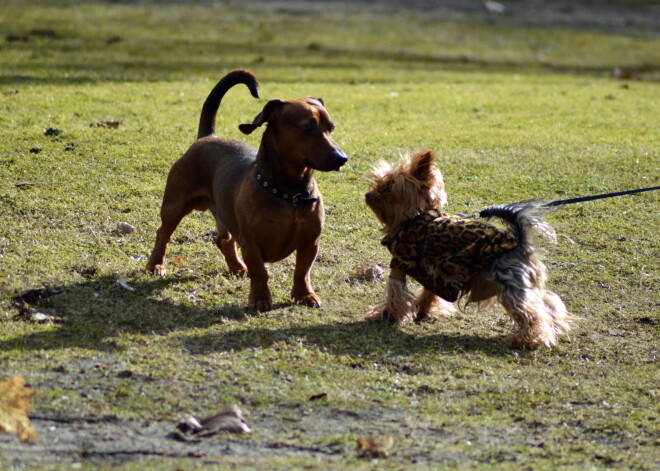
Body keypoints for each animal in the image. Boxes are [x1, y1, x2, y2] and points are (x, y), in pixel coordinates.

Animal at [366, 149, 572, 348]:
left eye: (388, 187)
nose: (367, 195)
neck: (414, 217)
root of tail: (519, 242)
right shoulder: (436, 273)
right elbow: (428, 293)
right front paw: (422, 310)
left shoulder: (400, 262)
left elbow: (395, 293)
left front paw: (386, 315)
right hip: (526, 283)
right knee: (548, 302)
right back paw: (556, 326)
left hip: (510, 285)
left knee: (531, 313)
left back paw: (532, 340)